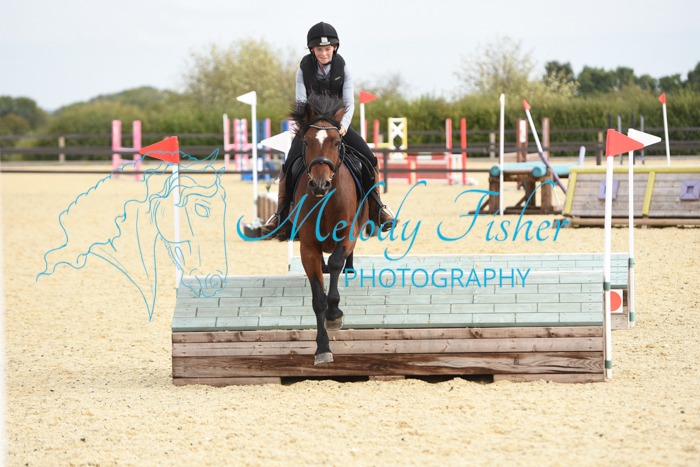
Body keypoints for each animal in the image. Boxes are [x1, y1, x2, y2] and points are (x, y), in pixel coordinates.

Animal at [290, 93, 368, 365]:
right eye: (306, 141)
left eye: (336, 142)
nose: (320, 184)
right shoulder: (308, 248)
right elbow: (318, 299)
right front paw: (322, 348)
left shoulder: (348, 235)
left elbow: (336, 263)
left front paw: (335, 314)